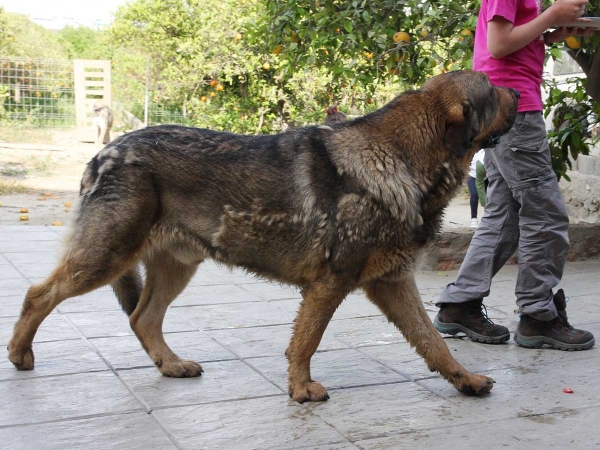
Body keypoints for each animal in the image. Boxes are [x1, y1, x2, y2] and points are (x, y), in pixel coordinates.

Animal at [7, 71, 516, 404]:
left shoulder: (391, 284)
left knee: (142, 318)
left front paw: (465, 379)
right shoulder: (330, 284)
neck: (401, 157)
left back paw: (171, 365)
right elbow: (306, 341)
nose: (520, 89)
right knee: (38, 294)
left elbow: (433, 341)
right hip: (104, 257)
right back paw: (19, 353)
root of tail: (103, 152)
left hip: (176, 267)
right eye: (492, 91)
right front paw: (300, 388)